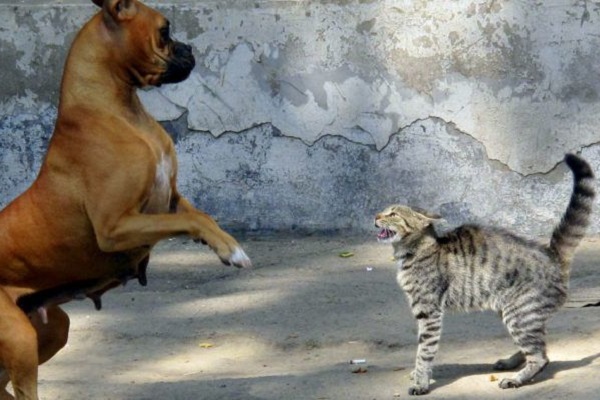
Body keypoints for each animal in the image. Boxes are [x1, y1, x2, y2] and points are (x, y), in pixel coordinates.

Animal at [0, 1, 251, 398]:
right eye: (165, 31)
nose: (190, 48)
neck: (117, 110)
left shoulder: (170, 200)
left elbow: (202, 216)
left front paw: (221, 242)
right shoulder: (116, 227)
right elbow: (190, 220)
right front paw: (231, 250)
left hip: (50, 328)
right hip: (20, 338)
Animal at [376, 155, 596, 396]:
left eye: (393, 214)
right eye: (385, 212)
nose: (375, 216)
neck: (413, 251)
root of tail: (552, 254)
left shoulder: (428, 312)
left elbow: (424, 351)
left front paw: (420, 382)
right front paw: (418, 375)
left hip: (519, 314)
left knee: (540, 356)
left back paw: (515, 379)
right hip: (514, 312)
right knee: (538, 345)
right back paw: (510, 363)